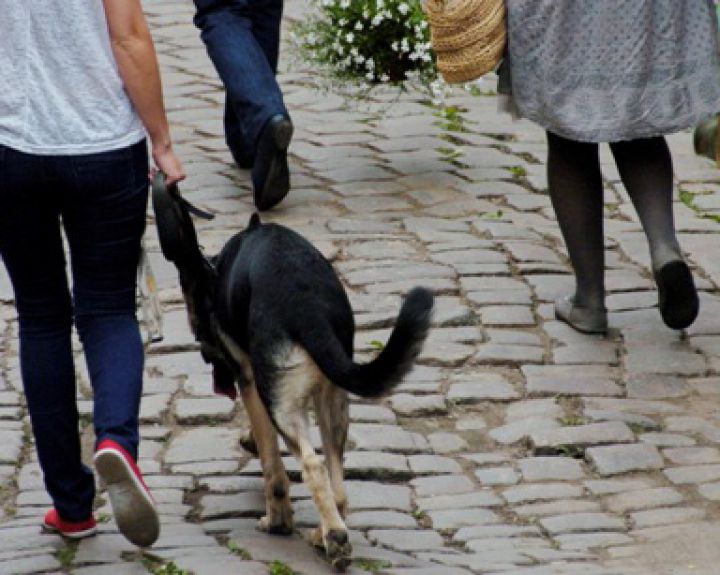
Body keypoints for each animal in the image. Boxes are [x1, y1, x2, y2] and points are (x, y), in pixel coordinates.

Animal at [152, 177, 434, 572]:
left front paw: (277, 518)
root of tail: (306, 306)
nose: (209, 361)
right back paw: (326, 532)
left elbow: (272, 462)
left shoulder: (251, 381)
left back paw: (332, 537)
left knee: (312, 464)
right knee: (336, 475)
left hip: (285, 405)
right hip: (334, 400)